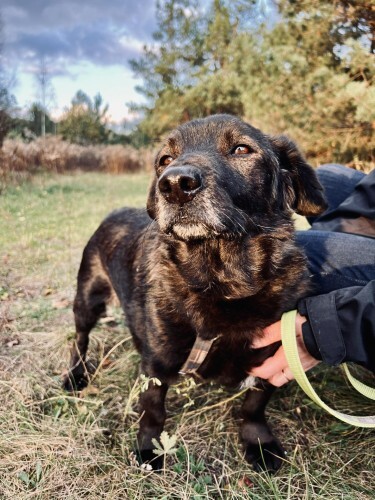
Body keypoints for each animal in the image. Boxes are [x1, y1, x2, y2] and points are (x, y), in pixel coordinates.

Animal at [63, 115, 328, 470]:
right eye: (165, 159)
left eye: (242, 149)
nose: (175, 184)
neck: (223, 283)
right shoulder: (157, 364)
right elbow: (153, 411)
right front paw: (149, 449)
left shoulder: (275, 356)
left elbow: (254, 405)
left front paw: (258, 442)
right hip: (87, 300)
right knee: (79, 338)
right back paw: (75, 375)